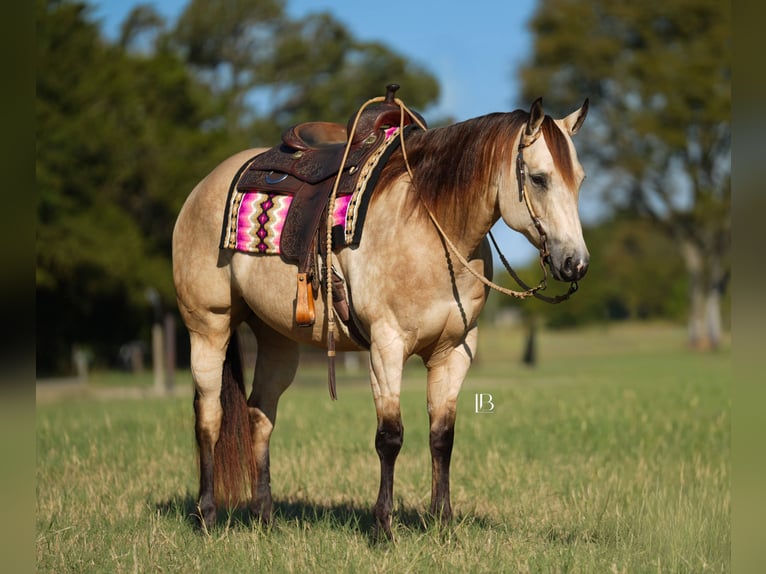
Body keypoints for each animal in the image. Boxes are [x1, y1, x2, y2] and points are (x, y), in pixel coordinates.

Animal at [172, 95, 590, 539]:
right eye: (540, 179)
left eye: (580, 179)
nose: (575, 264)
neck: (430, 225)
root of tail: (205, 186)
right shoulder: (386, 347)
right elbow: (390, 437)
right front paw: (383, 526)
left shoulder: (454, 351)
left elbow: (442, 436)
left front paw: (442, 522)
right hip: (208, 327)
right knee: (209, 416)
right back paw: (206, 515)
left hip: (276, 340)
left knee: (260, 414)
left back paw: (265, 518)